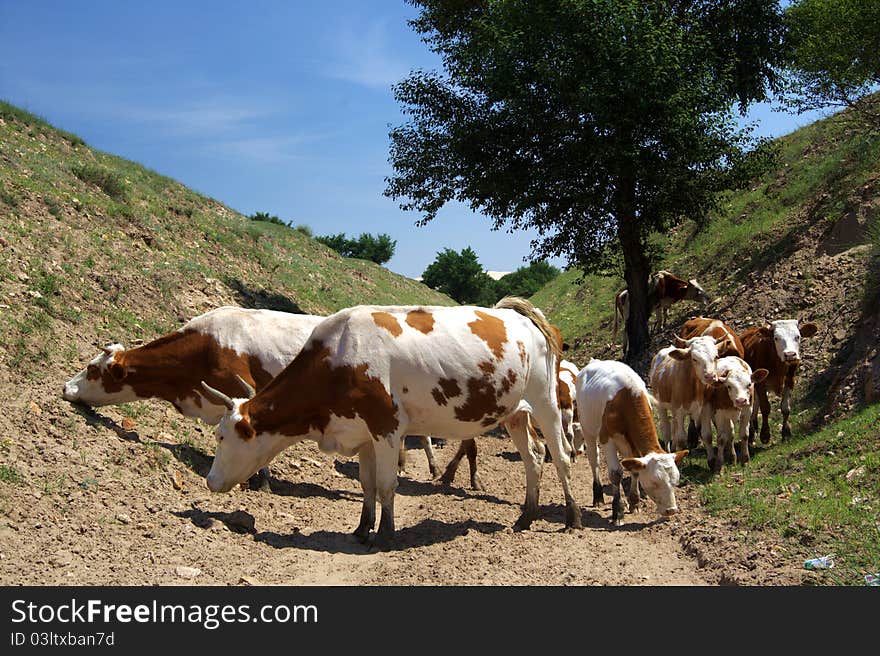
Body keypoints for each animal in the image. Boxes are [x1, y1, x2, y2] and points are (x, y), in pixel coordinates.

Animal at [202, 298, 580, 548]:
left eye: (221, 437)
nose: (210, 481)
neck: (339, 359)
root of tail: (520, 316)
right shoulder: (363, 433)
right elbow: (367, 485)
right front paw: (361, 528)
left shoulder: (386, 428)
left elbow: (386, 485)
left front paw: (384, 533)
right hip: (514, 411)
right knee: (534, 455)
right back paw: (525, 517)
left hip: (545, 401)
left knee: (561, 456)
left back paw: (572, 519)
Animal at [576, 356, 692, 524]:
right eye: (655, 482)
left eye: (675, 481)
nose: (671, 510)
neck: (626, 398)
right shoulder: (606, 438)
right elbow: (615, 473)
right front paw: (618, 511)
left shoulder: (635, 446)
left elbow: (635, 470)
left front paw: (634, 503)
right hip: (588, 429)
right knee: (594, 459)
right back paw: (598, 496)